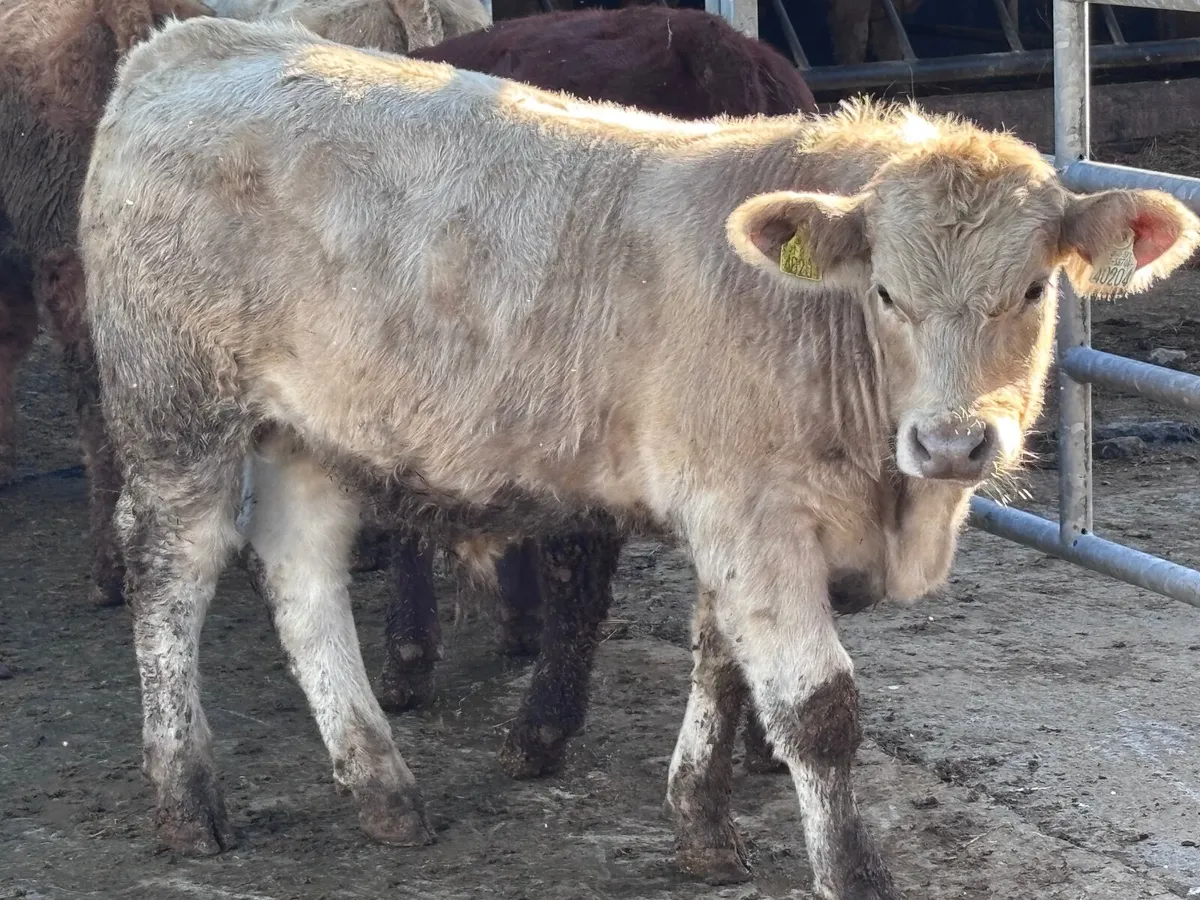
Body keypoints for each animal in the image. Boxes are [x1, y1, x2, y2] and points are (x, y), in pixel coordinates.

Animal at [79, 16, 1199, 895]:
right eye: (887, 293)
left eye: (1033, 289)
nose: (955, 439)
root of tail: (198, 41)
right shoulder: (753, 514)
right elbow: (817, 711)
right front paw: (853, 876)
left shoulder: (731, 512)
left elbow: (720, 662)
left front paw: (699, 823)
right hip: (176, 406)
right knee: (174, 568)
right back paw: (186, 797)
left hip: (310, 424)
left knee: (302, 571)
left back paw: (383, 789)